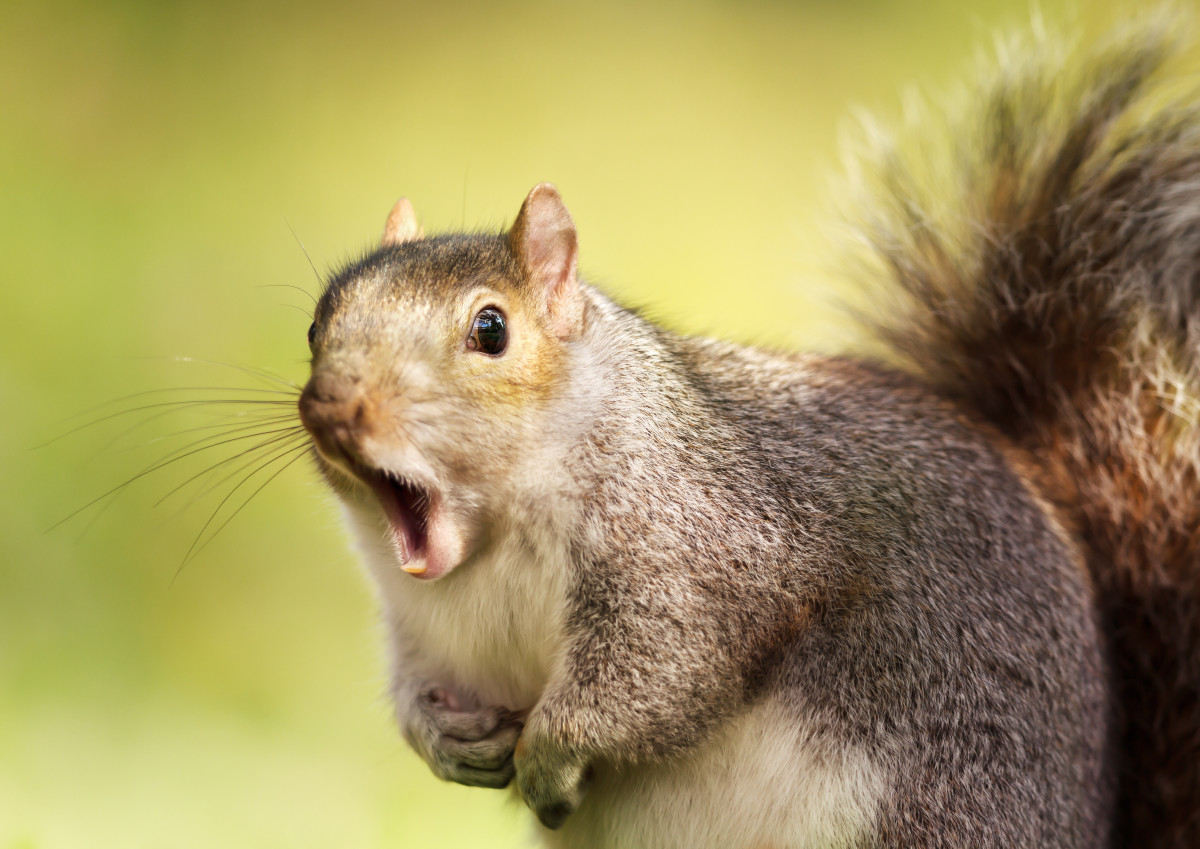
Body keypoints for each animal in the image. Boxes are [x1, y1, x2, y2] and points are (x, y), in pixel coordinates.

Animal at [295, 18, 1195, 849]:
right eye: (317, 323)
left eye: (491, 329)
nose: (334, 405)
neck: (491, 543)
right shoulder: (420, 625)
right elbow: (416, 687)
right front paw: (442, 737)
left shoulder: (702, 544)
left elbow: (661, 672)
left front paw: (548, 756)